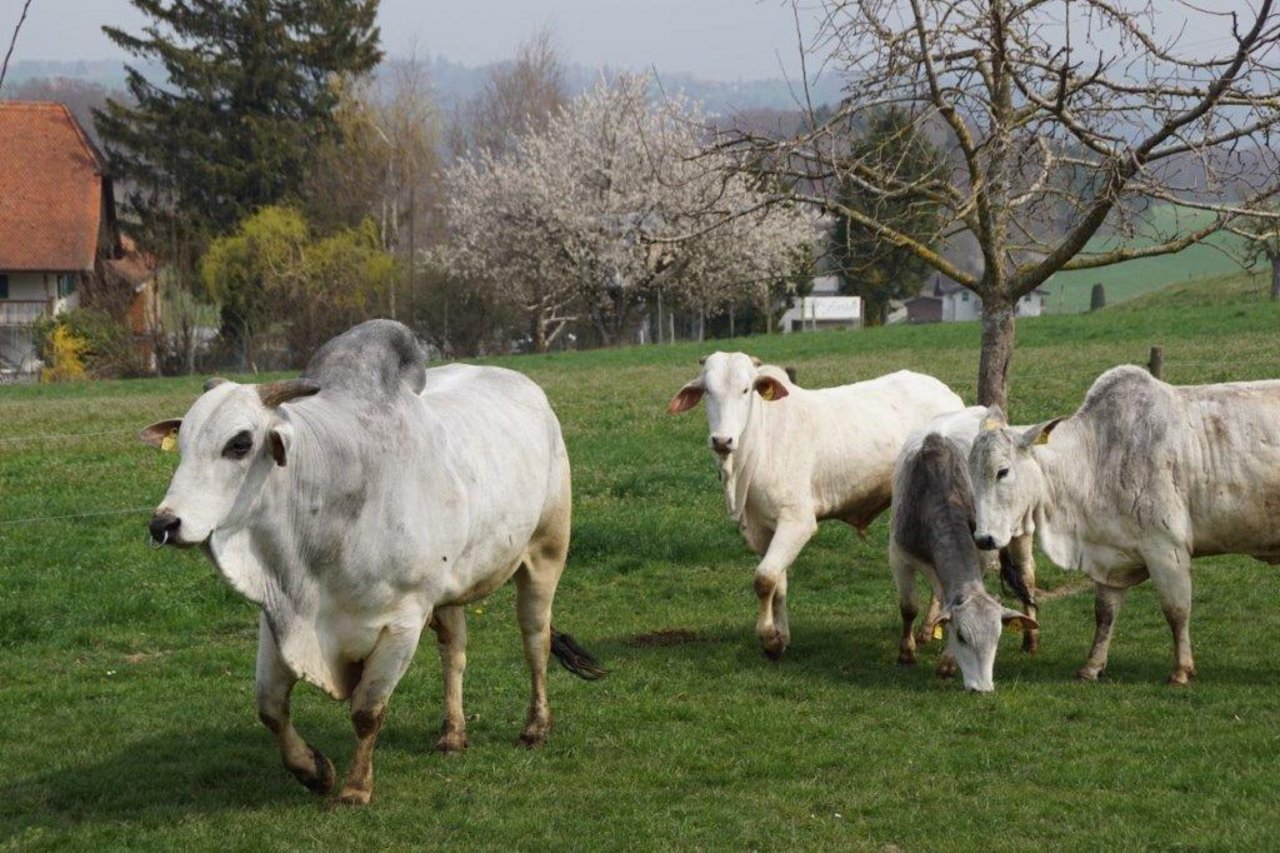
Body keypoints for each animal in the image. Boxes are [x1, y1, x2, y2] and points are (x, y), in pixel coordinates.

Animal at [142, 320, 601, 804]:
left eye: (239, 443)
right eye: (182, 444)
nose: (164, 523)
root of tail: (531, 390)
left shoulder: (402, 621)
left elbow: (366, 710)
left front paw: (356, 788)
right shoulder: (278, 617)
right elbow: (270, 708)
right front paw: (314, 771)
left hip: (546, 553)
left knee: (535, 640)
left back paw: (535, 727)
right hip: (450, 590)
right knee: (454, 651)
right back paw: (453, 734)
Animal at [670, 350, 962, 655]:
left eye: (746, 389)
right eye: (707, 391)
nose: (722, 440)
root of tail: (949, 394)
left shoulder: (797, 522)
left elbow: (764, 579)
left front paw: (768, 637)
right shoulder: (763, 528)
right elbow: (778, 583)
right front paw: (781, 636)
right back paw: (929, 627)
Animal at [890, 404, 1039, 691]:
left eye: (997, 637)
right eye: (961, 636)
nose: (982, 687)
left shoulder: (980, 556)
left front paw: (947, 663)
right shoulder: (899, 556)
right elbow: (909, 606)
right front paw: (906, 652)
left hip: (1022, 531)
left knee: (1027, 578)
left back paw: (1031, 639)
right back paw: (926, 629)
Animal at [967, 366, 1280, 686]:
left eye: (1002, 471)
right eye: (971, 471)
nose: (983, 538)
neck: (1097, 457)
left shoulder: (1168, 550)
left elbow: (1177, 611)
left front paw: (1181, 669)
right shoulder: (1108, 559)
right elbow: (1104, 614)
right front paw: (1092, 666)